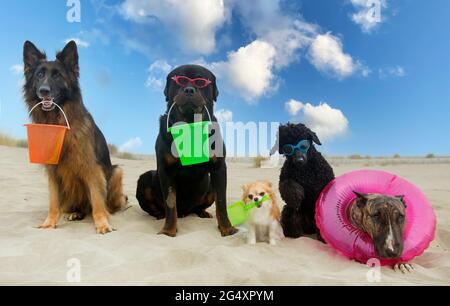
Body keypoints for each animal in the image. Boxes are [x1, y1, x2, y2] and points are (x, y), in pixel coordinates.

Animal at [24, 40, 127, 232]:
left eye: (57, 76)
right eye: (40, 75)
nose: (44, 90)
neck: (59, 123)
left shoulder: (92, 168)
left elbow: (97, 199)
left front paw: (102, 223)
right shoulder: (53, 172)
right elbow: (53, 201)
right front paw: (49, 222)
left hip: (117, 171)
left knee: (104, 204)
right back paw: (75, 213)